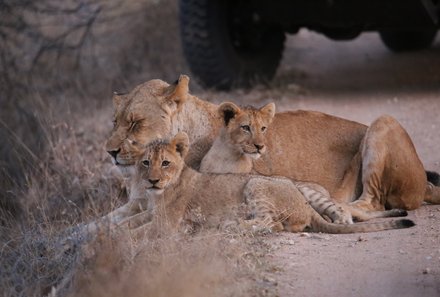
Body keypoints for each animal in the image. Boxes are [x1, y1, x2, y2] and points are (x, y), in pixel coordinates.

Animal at [105, 75, 440, 212]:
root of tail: (423, 180)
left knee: (372, 201)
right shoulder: (139, 202)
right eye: (114, 122)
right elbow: (96, 230)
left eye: (135, 123)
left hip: (383, 120)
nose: (110, 152)